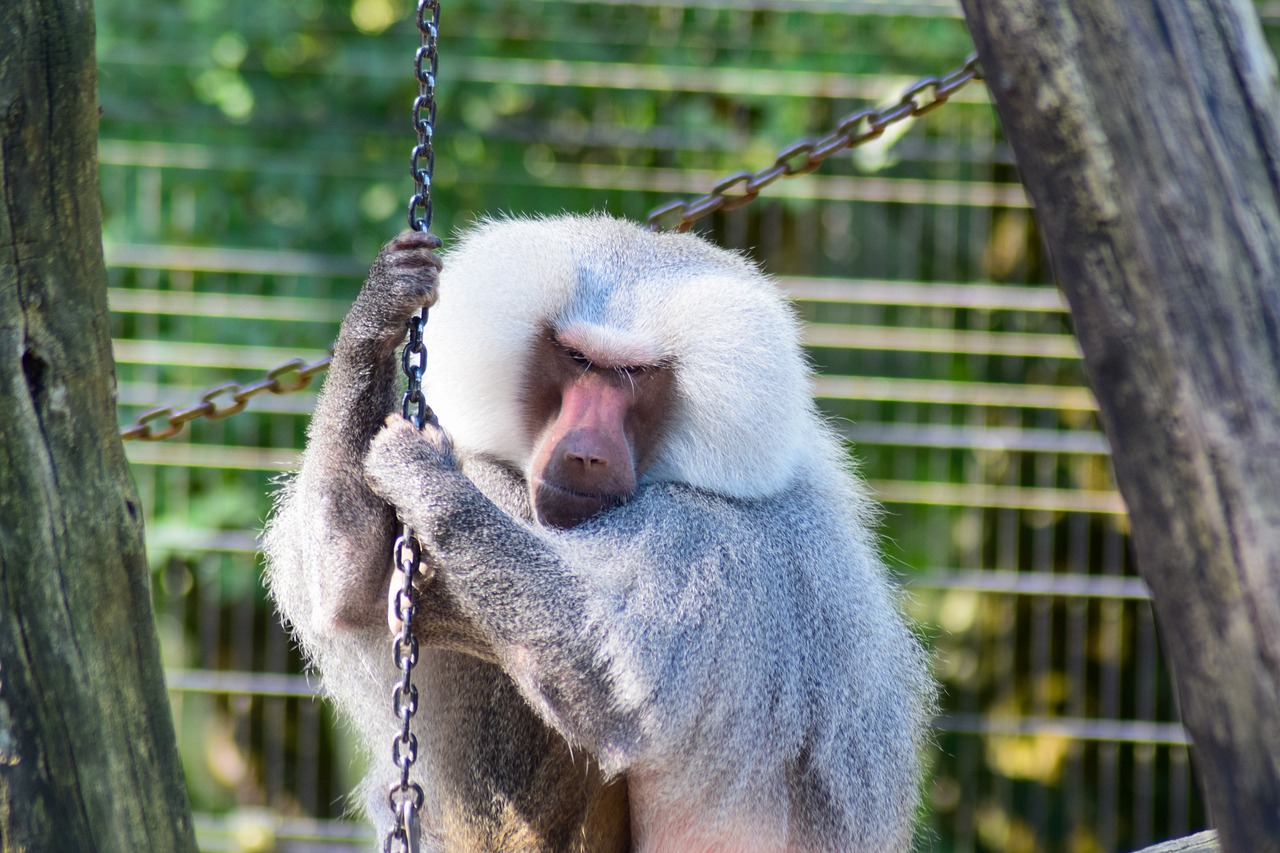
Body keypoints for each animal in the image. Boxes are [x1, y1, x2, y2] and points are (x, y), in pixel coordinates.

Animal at [263, 214, 935, 852]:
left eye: (633, 374)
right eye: (578, 359)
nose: (586, 453)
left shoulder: (717, 547)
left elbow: (609, 684)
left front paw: (429, 478)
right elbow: (351, 587)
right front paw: (380, 307)